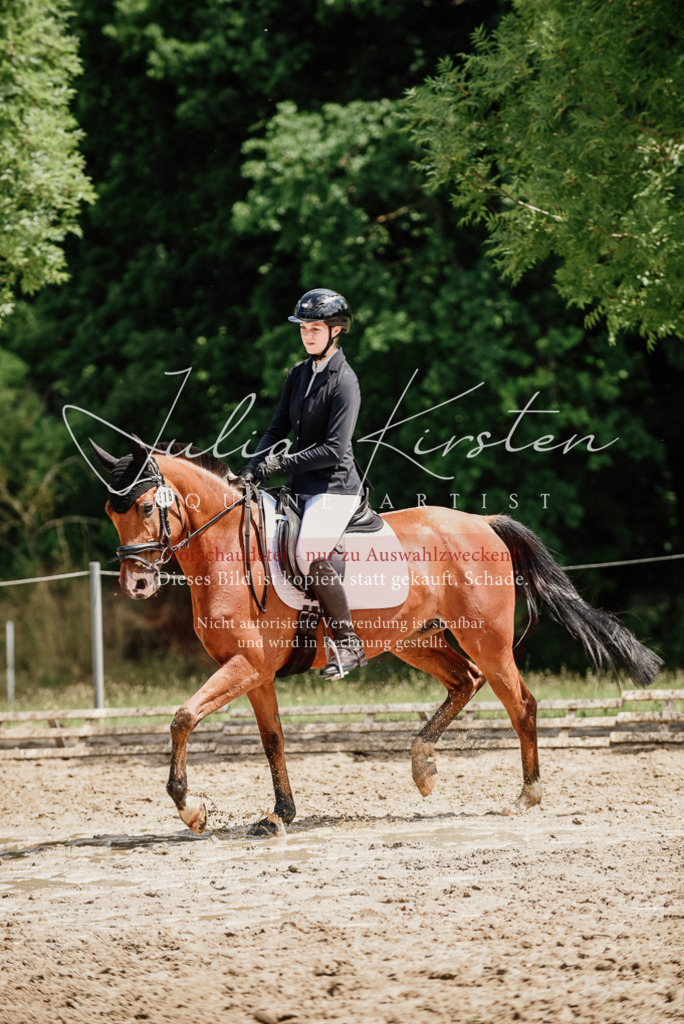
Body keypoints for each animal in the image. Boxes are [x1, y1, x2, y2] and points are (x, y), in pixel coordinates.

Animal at [90, 438, 663, 836]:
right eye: (110, 513)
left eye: (146, 508)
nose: (135, 584)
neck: (228, 547)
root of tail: (482, 521)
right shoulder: (256, 674)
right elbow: (273, 740)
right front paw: (279, 815)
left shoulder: (247, 667)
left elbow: (183, 717)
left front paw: (191, 809)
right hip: (414, 640)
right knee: (465, 681)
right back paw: (423, 767)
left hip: (488, 640)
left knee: (519, 703)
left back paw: (526, 796)